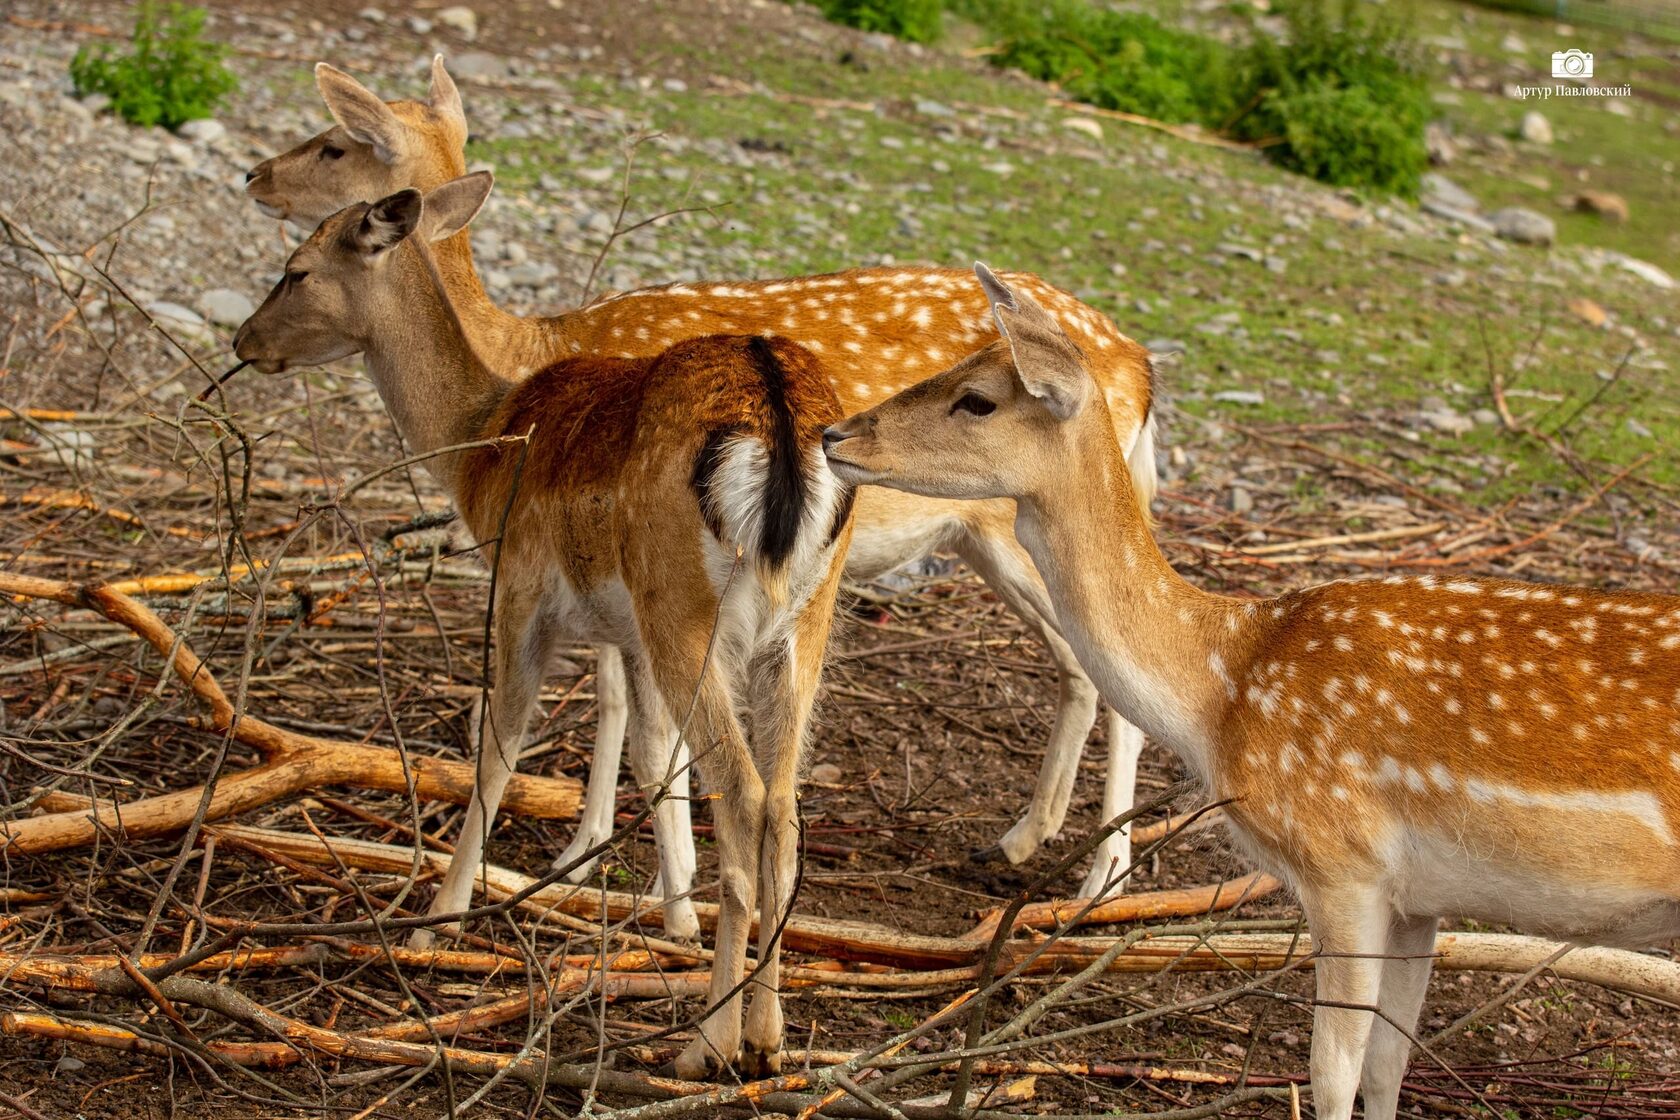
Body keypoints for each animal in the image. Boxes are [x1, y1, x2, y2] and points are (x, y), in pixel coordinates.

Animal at [233, 168, 853, 1074]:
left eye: (298, 268)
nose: (244, 339)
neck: (481, 438)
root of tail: (777, 421)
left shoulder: (521, 591)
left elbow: (496, 749)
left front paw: (437, 919)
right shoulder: (626, 632)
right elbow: (649, 756)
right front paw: (672, 915)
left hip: (686, 609)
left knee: (741, 792)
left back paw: (705, 1045)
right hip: (800, 623)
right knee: (784, 803)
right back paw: (767, 1041)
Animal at [245, 59, 1169, 900]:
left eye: (333, 143)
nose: (253, 174)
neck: (519, 360)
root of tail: (1139, 366)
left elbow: (629, 711)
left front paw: (627, 871)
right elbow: (625, 705)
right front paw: (596, 854)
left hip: (1024, 527)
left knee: (1120, 667)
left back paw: (1102, 880)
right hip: (988, 538)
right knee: (1083, 667)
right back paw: (1017, 841)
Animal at [823, 260, 1680, 1120]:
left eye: (977, 398)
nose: (835, 435)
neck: (1223, 686)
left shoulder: (1344, 863)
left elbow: (1333, 1070)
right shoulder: (1421, 897)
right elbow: (1388, 1064)